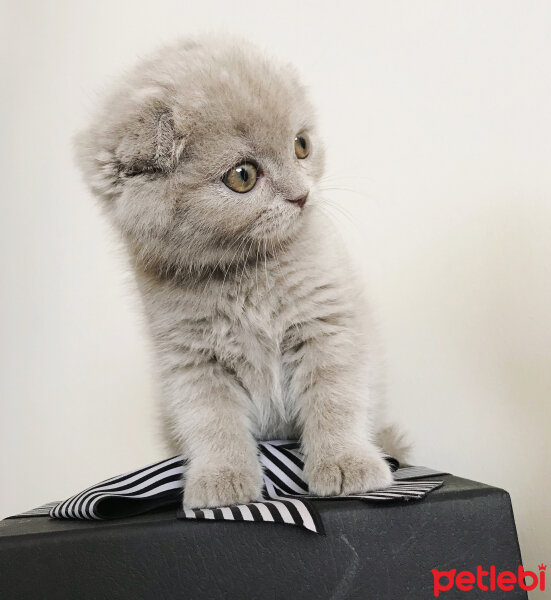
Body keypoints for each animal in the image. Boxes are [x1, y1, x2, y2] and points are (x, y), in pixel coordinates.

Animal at [75, 36, 408, 506]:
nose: (302, 196)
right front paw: (222, 479)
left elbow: (336, 397)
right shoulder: (191, 359)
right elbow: (211, 422)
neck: (244, 273)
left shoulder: (326, 325)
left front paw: (347, 464)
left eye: (301, 145)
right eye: (243, 176)